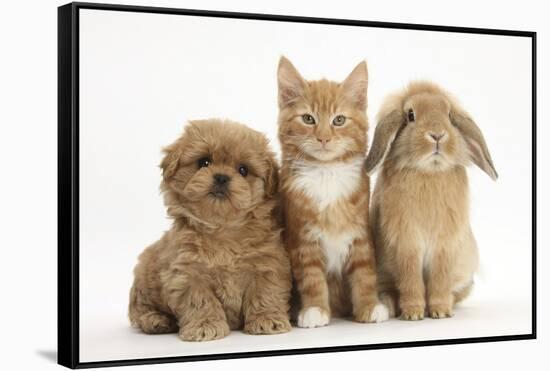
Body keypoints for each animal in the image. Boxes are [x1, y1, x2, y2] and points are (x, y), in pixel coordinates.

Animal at [129, 120, 294, 342]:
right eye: (204, 162)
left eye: (243, 170)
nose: (222, 177)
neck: (222, 230)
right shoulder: (187, 274)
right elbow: (201, 301)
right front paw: (205, 326)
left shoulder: (268, 266)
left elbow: (265, 293)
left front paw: (267, 320)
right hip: (143, 278)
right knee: (140, 310)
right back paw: (156, 320)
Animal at [280, 56, 388, 326]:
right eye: (308, 119)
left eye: (339, 120)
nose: (324, 138)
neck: (326, 172)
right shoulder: (302, 238)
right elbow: (312, 278)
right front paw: (315, 310)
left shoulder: (360, 232)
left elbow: (364, 273)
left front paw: (370, 306)